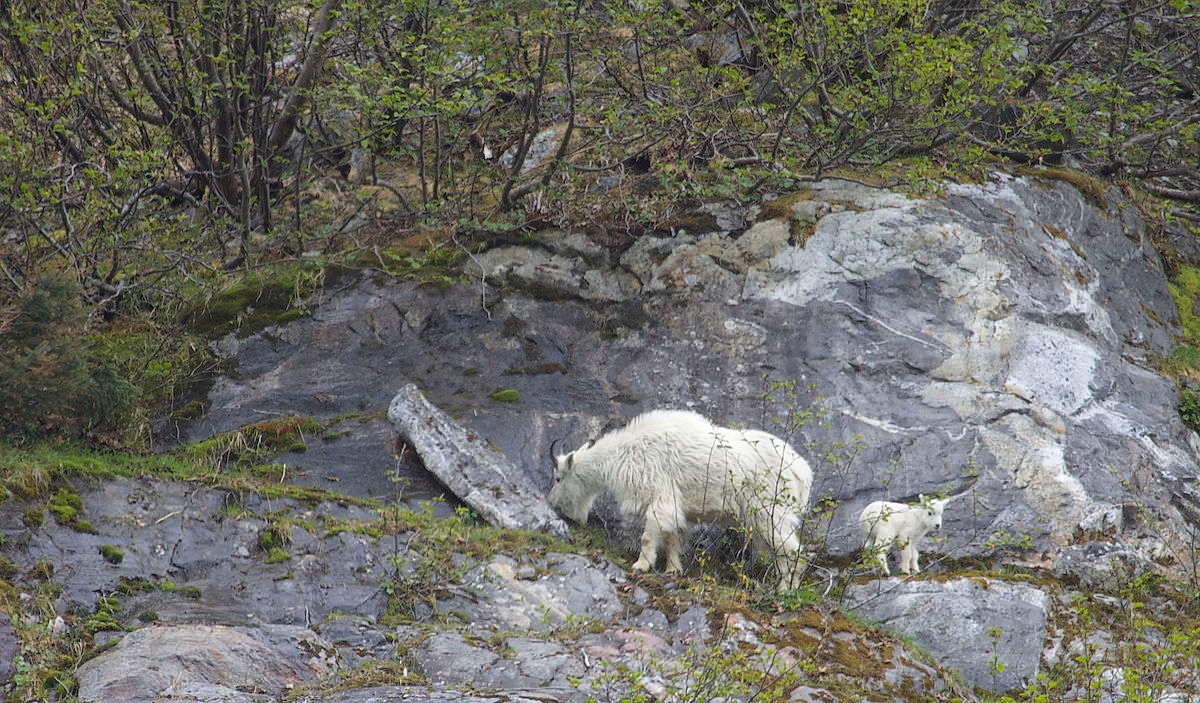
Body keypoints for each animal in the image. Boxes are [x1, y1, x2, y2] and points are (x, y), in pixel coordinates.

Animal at [547, 407, 811, 587]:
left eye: (558, 478)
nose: (554, 504)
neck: (625, 454)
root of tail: (802, 472)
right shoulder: (676, 507)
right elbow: (673, 539)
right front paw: (673, 570)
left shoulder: (659, 495)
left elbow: (648, 536)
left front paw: (641, 564)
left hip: (770, 510)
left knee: (792, 550)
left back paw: (785, 589)